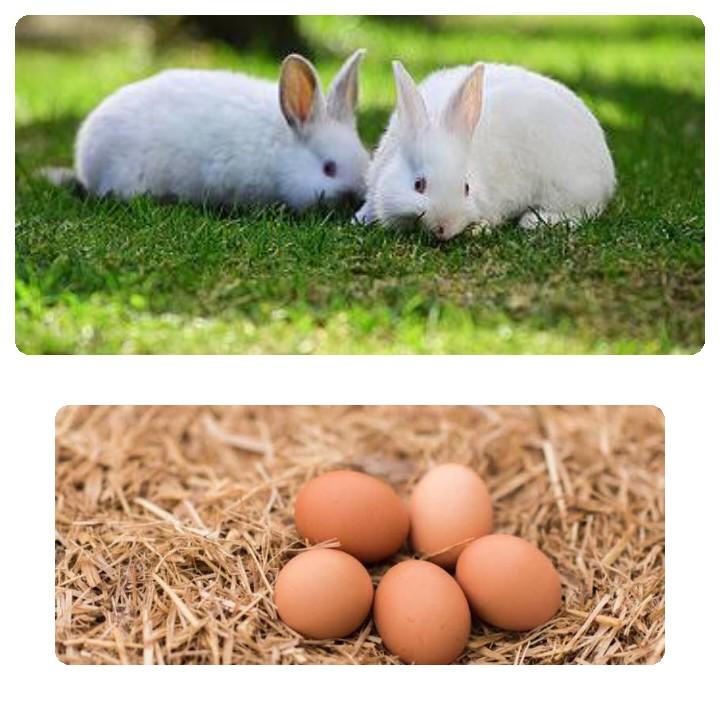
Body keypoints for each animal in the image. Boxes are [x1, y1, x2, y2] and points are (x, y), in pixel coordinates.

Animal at [356, 61, 616, 239]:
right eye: (419, 185)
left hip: (566, 189)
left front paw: (479, 229)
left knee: (585, 210)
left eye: (466, 188)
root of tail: (608, 176)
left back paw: (534, 221)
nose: (444, 228)